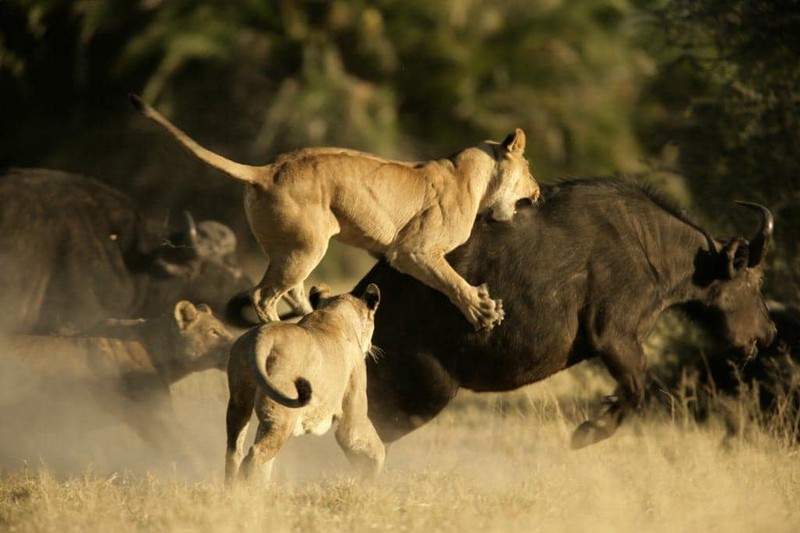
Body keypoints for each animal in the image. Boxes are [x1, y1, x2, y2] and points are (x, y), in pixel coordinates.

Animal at [354, 180, 780, 448]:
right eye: (755, 281)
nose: (769, 332)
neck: (652, 248)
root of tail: (363, 293)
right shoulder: (615, 336)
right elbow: (637, 386)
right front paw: (588, 433)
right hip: (426, 390)